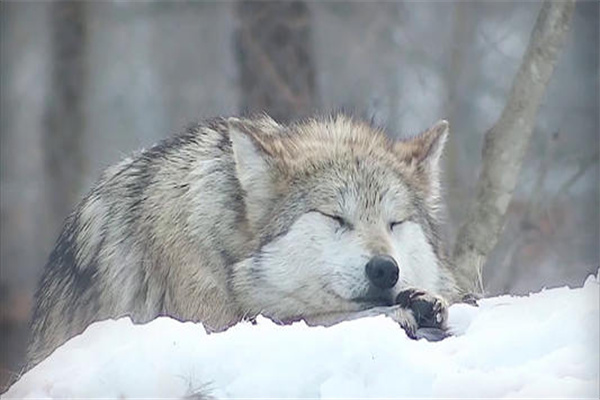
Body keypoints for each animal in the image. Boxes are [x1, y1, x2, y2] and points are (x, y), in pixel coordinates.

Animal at [27, 113, 460, 368]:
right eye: (336, 217)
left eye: (395, 223)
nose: (386, 269)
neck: (227, 248)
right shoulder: (214, 324)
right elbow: (308, 318)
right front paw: (401, 312)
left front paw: (423, 301)